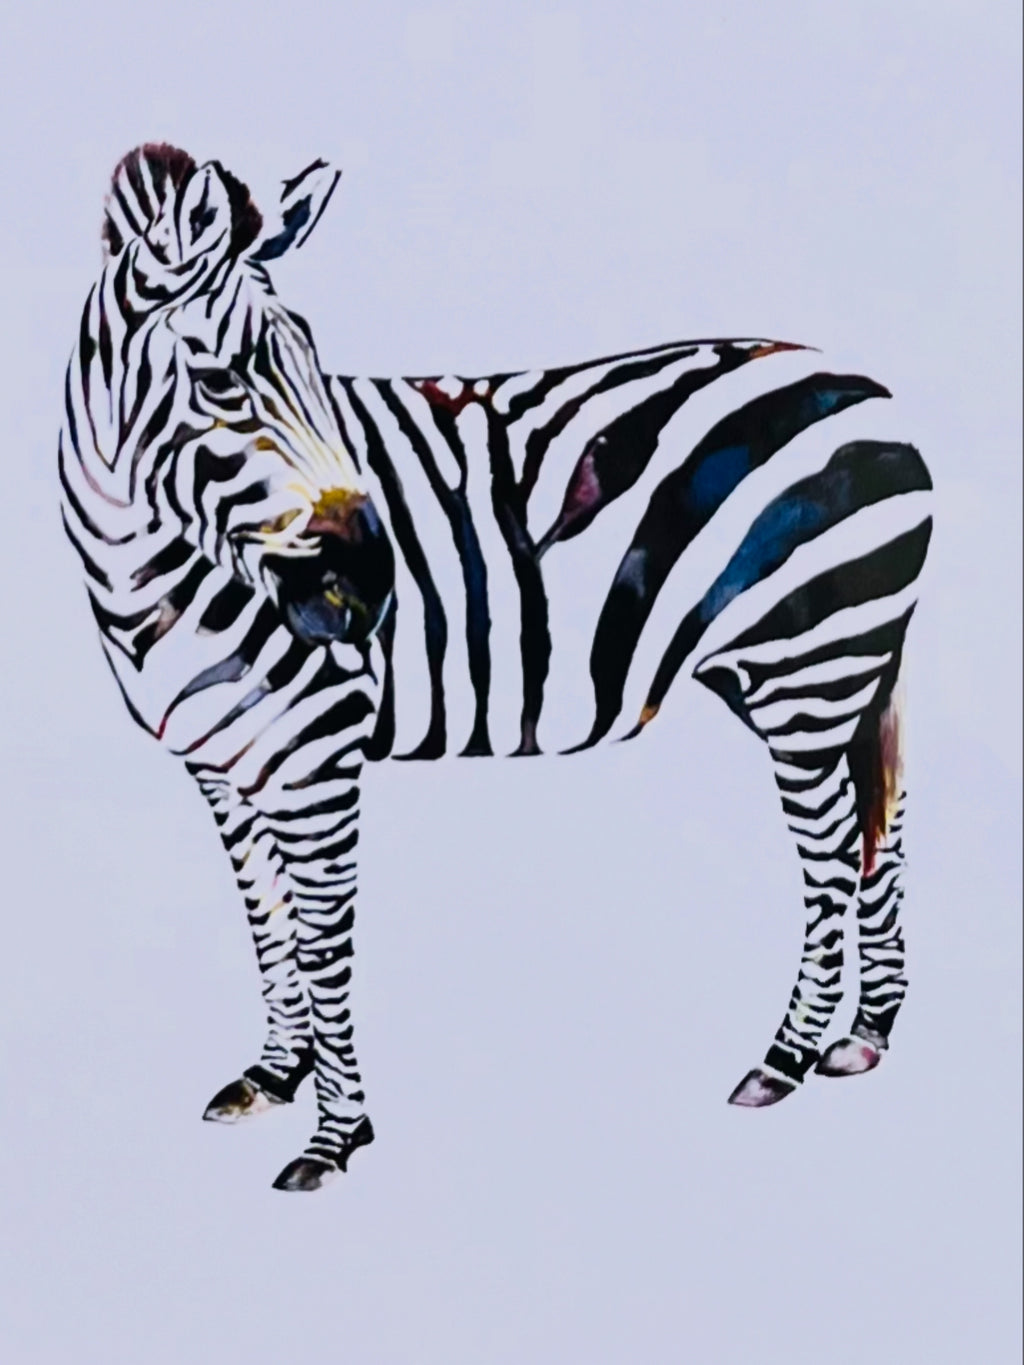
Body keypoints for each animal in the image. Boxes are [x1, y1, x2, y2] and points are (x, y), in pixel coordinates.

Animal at [60, 143, 932, 1192]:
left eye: (316, 366)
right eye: (223, 381)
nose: (372, 579)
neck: (151, 566)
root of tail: (876, 390)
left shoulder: (317, 755)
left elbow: (323, 943)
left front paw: (335, 1135)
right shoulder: (222, 764)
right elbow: (267, 922)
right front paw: (274, 1073)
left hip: (809, 666)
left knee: (834, 850)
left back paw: (785, 1055)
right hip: (835, 671)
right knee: (877, 832)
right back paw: (865, 1035)